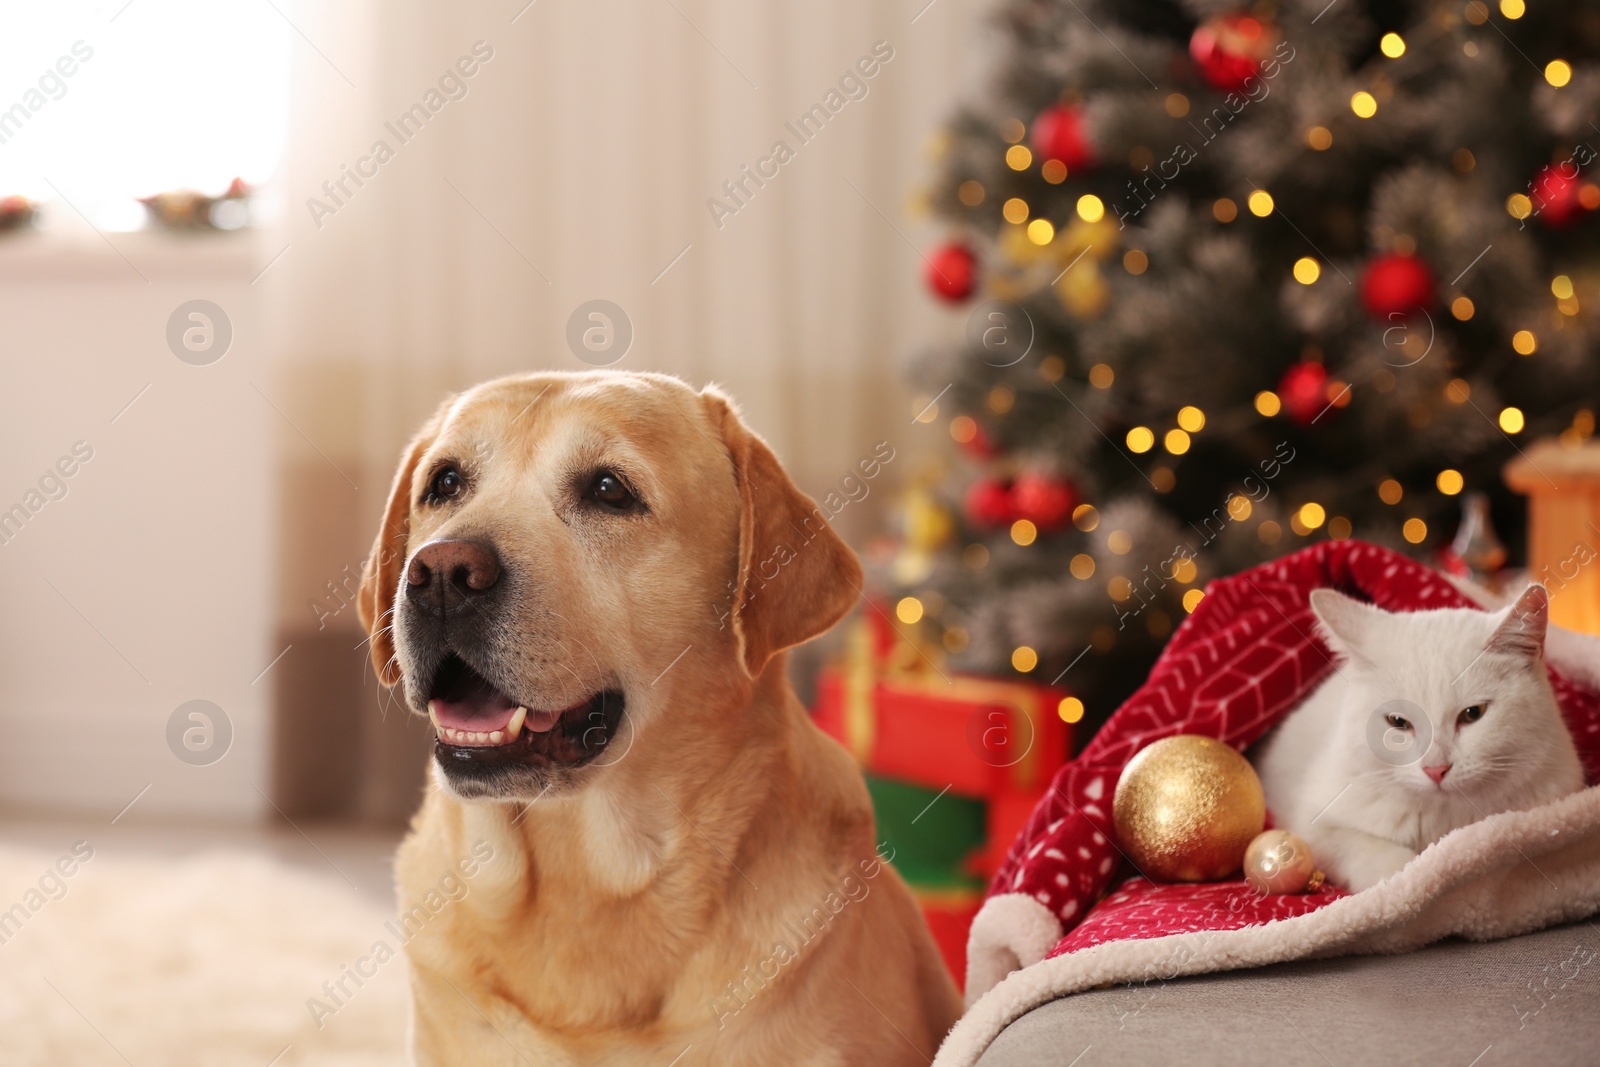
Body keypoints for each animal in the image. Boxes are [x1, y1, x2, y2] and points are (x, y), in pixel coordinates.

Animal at [1254, 585, 1580, 895]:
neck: (1445, 816)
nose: (1436, 769)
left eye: (1473, 713)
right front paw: (1411, 879)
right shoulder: (1313, 824)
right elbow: (1371, 854)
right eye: (1398, 722)